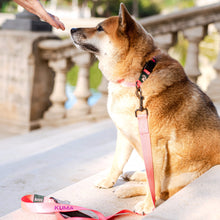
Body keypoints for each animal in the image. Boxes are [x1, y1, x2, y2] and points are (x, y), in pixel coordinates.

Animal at [71, 2, 220, 214]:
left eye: (99, 28)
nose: (72, 29)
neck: (139, 76)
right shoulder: (124, 134)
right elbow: (117, 162)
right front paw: (109, 182)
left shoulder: (155, 144)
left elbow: (154, 183)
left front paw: (148, 206)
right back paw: (133, 177)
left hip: (187, 173)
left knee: (164, 189)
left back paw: (131, 190)